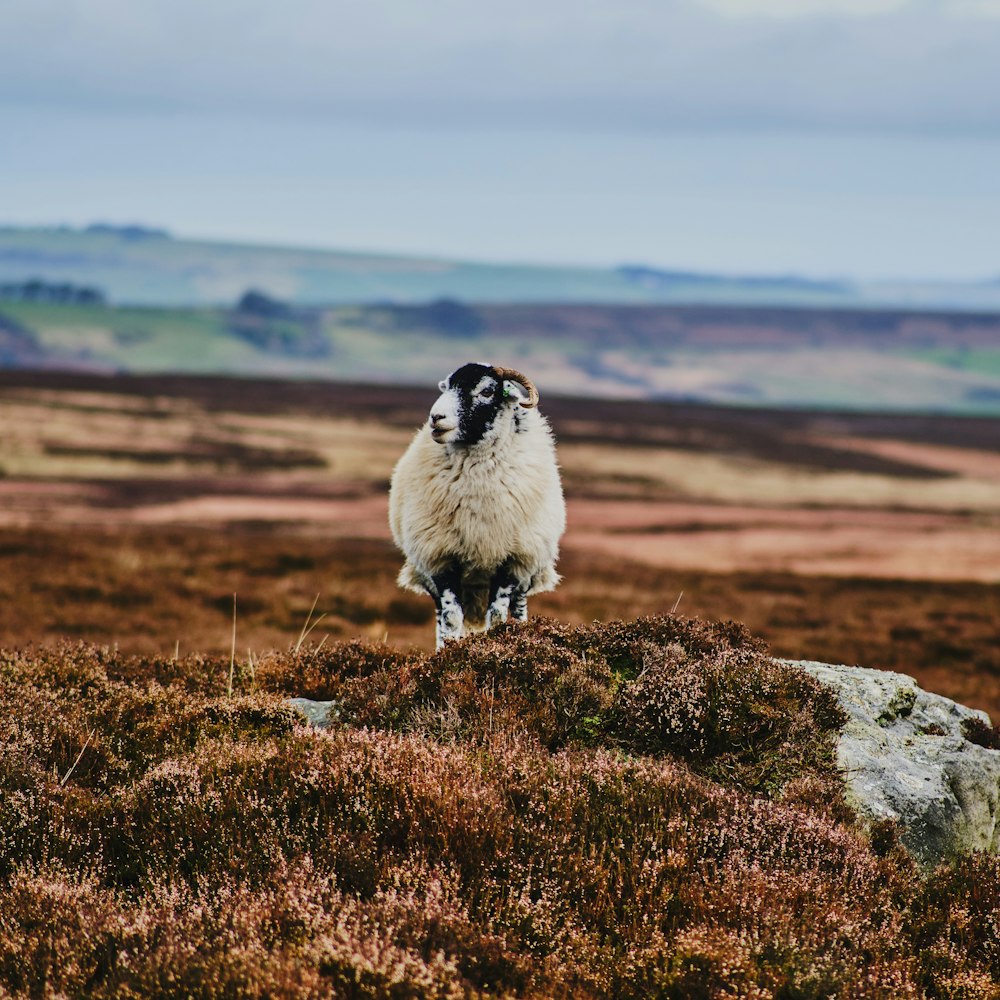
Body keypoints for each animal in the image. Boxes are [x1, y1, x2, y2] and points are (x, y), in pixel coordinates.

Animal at [388, 362, 568, 648]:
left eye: (486, 391)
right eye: (448, 387)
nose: (436, 418)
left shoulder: (511, 560)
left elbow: (497, 615)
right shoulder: (441, 559)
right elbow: (450, 617)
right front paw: (447, 652)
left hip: (528, 570)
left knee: (518, 608)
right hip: (428, 574)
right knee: (441, 616)